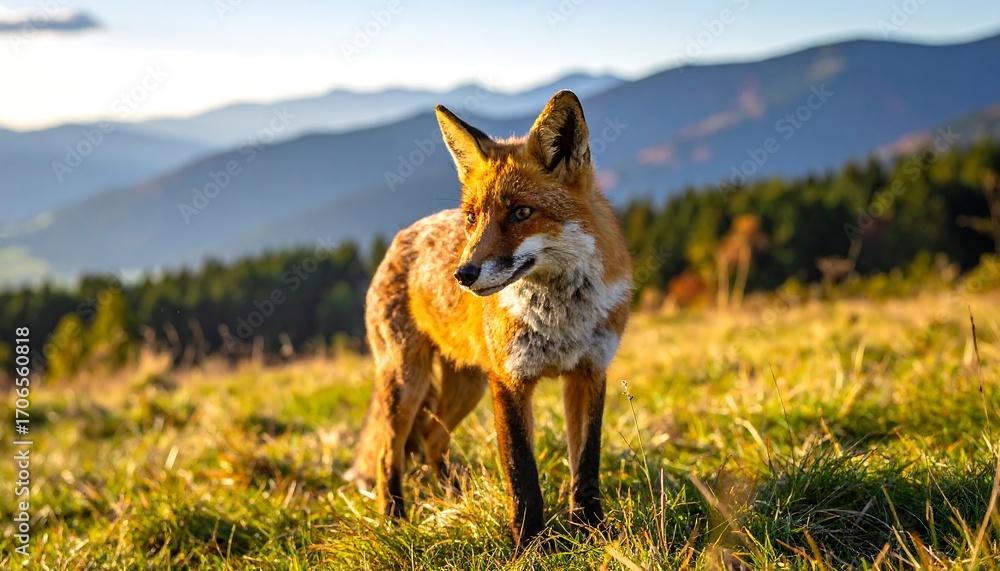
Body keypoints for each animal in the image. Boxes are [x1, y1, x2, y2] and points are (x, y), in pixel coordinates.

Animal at [347, 90, 633, 549]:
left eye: (520, 213)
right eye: (471, 218)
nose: (462, 275)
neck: (560, 319)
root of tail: (399, 239)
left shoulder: (589, 373)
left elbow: (586, 467)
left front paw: (592, 532)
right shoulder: (509, 381)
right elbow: (522, 476)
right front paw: (528, 546)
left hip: (468, 386)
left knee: (433, 440)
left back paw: (452, 501)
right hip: (409, 381)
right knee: (389, 455)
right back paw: (395, 521)